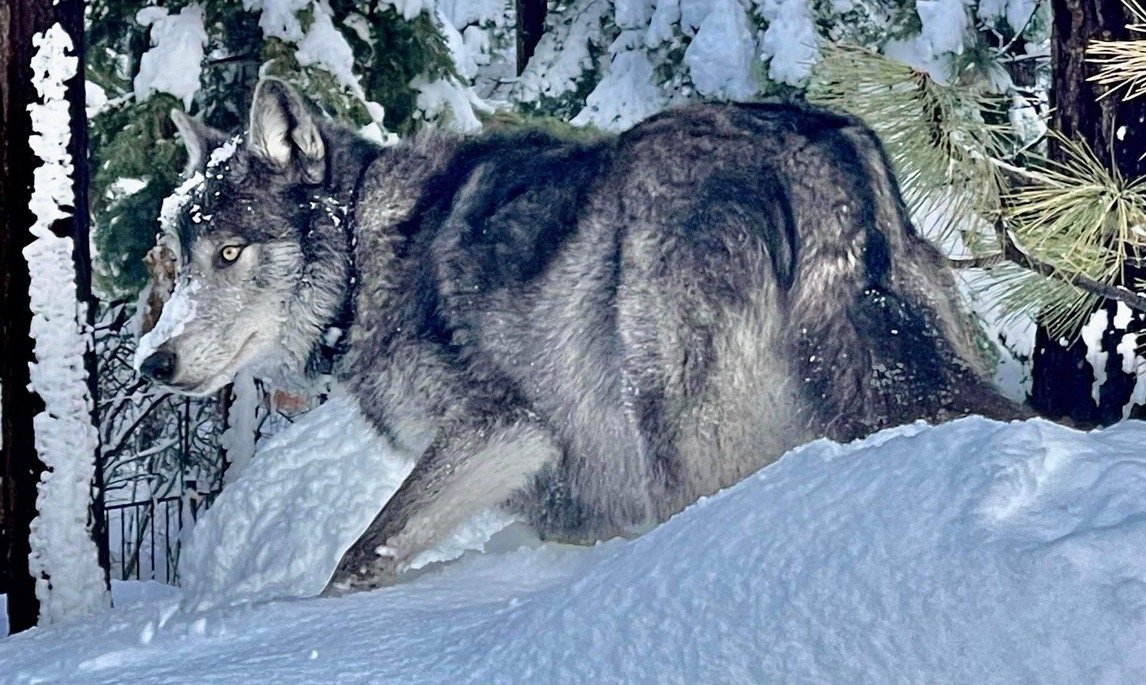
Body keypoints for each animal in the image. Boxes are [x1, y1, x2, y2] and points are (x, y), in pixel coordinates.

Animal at [139, 78, 1025, 592]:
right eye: (177, 258)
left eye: (230, 252)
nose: (154, 361)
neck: (365, 256)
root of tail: (815, 148)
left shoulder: (506, 427)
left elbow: (359, 556)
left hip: (680, 433)